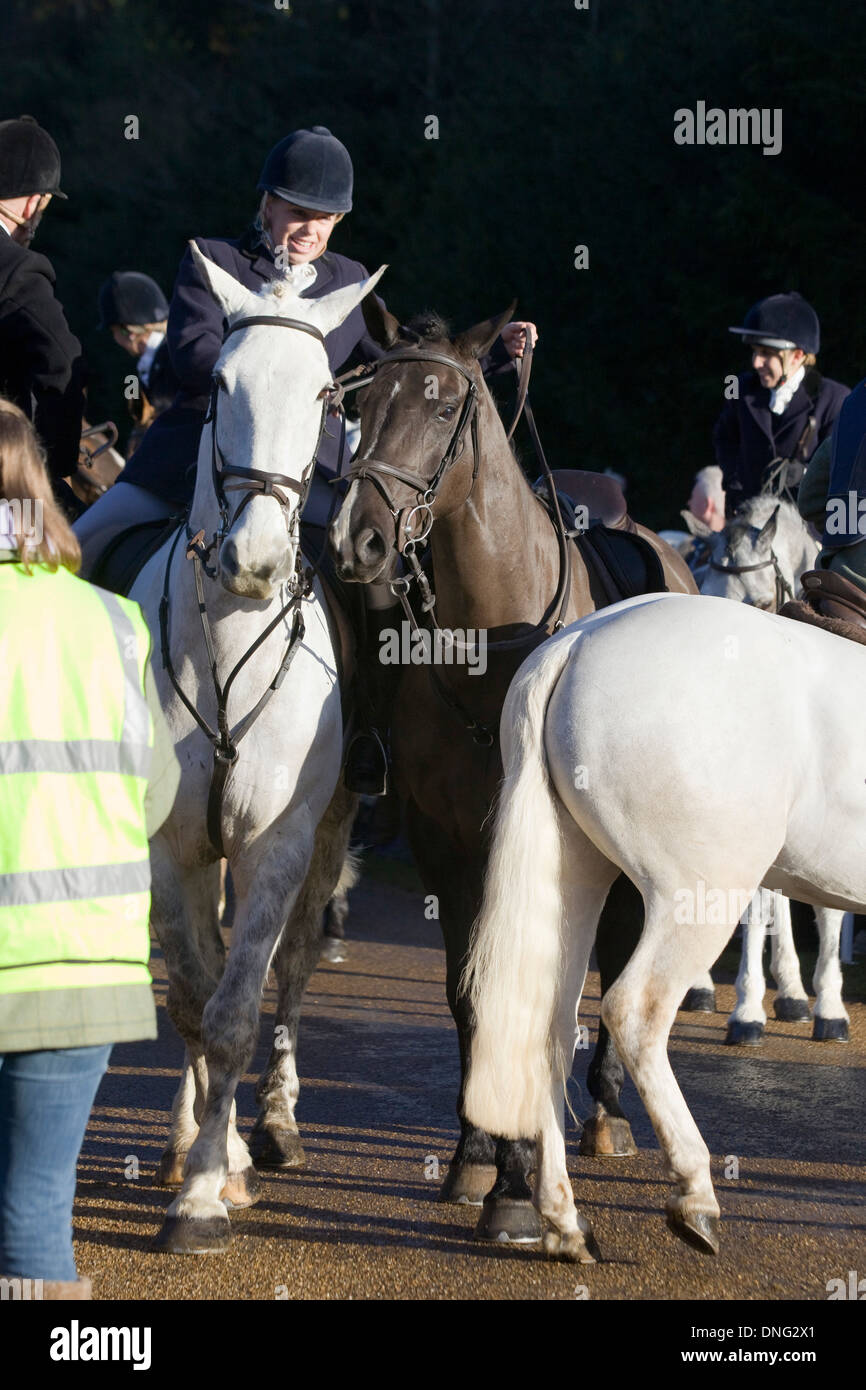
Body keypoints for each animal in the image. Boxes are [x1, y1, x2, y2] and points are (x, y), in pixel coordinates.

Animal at [130, 250, 383, 1262]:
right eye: (220, 386)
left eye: (323, 394)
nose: (255, 561)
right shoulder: (171, 847)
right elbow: (193, 1000)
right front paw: (206, 1156)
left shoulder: (278, 844)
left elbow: (237, 1013)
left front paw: (207, 1190)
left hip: (327, 839)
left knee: (294, 966)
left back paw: (274, 1122)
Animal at [330, 301, 697, 1251]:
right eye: (362, 401)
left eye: (441, 405)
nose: (359, 537)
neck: (494, 649)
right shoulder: (445, 846)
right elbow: (471, 996)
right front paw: (476, 1158)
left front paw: (519, 1188)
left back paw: (606, 1110)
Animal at [464, 592, 866, 1267]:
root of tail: (574, 642)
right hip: (698, 895)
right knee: (636, 1011)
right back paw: (694, 1190)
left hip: (574, 876)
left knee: (549, 1026)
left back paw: (564, 1221)